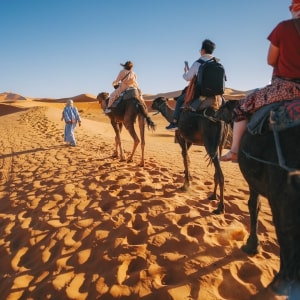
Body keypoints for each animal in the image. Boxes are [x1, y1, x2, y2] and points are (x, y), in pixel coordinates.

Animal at [214, 99, 300, 298]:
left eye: (222, 108)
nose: (213, 113)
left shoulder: (254, 182)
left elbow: (253, 205)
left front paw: (251, 246)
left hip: (283, 198)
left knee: (286, 233)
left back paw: (279, 284)